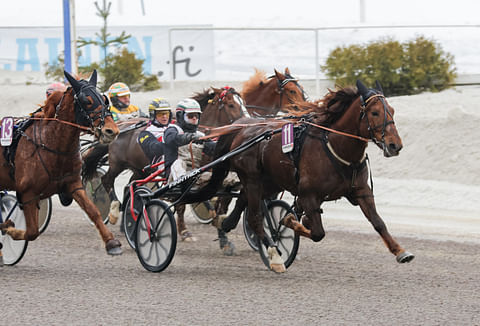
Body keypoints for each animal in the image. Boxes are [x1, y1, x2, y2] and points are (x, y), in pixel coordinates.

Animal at [0, 70, 122, 262]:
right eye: (86, 101)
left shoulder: (73, 184)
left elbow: (93, 211)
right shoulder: (27, 194)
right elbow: (32, 231)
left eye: (105, 99)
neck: (50, 144)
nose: (112, 131)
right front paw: (8, 229)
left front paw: (111, 242)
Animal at [81, 86, 246, 247]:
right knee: (107, 180)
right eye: (231, 105)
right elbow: (183, 200)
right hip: (117, 163)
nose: (245, 122)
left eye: (243, 103)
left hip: (139, 169)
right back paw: (114, 211)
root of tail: (120, 128)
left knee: (130, 187)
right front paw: (185, 231)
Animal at [182, 80, 414, 272]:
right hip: (253, 178)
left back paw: (226, 222)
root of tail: (241, 128)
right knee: (254, 217)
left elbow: (378, 222)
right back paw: (274, 255)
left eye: (391, 110)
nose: (395, 145)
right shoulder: (308, 195)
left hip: (268, 181)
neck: (335, 146)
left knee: (243, 201)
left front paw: (400, 251)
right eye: (374, 112)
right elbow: (316, 232)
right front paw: (290, 221)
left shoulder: (361, 192)